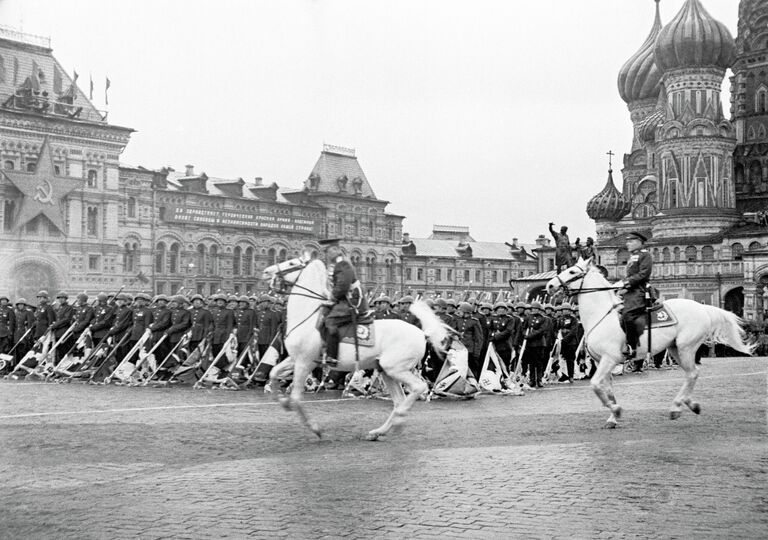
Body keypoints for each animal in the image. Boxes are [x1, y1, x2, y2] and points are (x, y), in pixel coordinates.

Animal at [262, 253, 450, 438]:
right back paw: (379, 431)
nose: (266, 272)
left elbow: (295, 399)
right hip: (387, 371)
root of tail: (421, 333)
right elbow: (273, 373)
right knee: (399, 400)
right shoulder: (295, 359)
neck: (307, 318)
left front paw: (314, 427)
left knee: (418, 388)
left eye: (292, 263)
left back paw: (399, 418)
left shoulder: (304, 363)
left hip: (396, 368)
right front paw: (280, 400)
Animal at [544, 255, 756, 428]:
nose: (550, 285)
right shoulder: (601, 361)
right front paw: (613, 416)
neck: (601, 315)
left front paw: (616, 410)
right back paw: (689, 404)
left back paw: (677, 407)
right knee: (691, 374)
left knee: (692, 374)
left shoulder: (609, 359)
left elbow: (596, 385)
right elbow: (607, 389)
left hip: (686, 348)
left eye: (572, 271)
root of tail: (702, 307)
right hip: (675, 350)